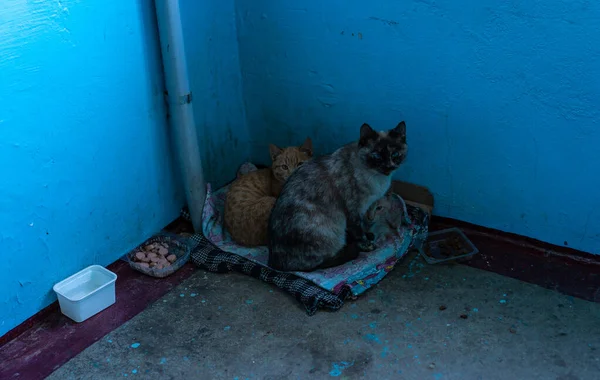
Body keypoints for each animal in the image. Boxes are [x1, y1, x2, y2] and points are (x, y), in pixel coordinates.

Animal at [268, 120, 408, 272]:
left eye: (395, 154)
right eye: (376, 156)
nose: (388, 167)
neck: (377, 177)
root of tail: (275, 264)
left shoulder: (363, 208)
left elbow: (362, 227)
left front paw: (368, 235)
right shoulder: (353, 211)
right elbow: (358, 230)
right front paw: (366, 244)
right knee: (320, 264)